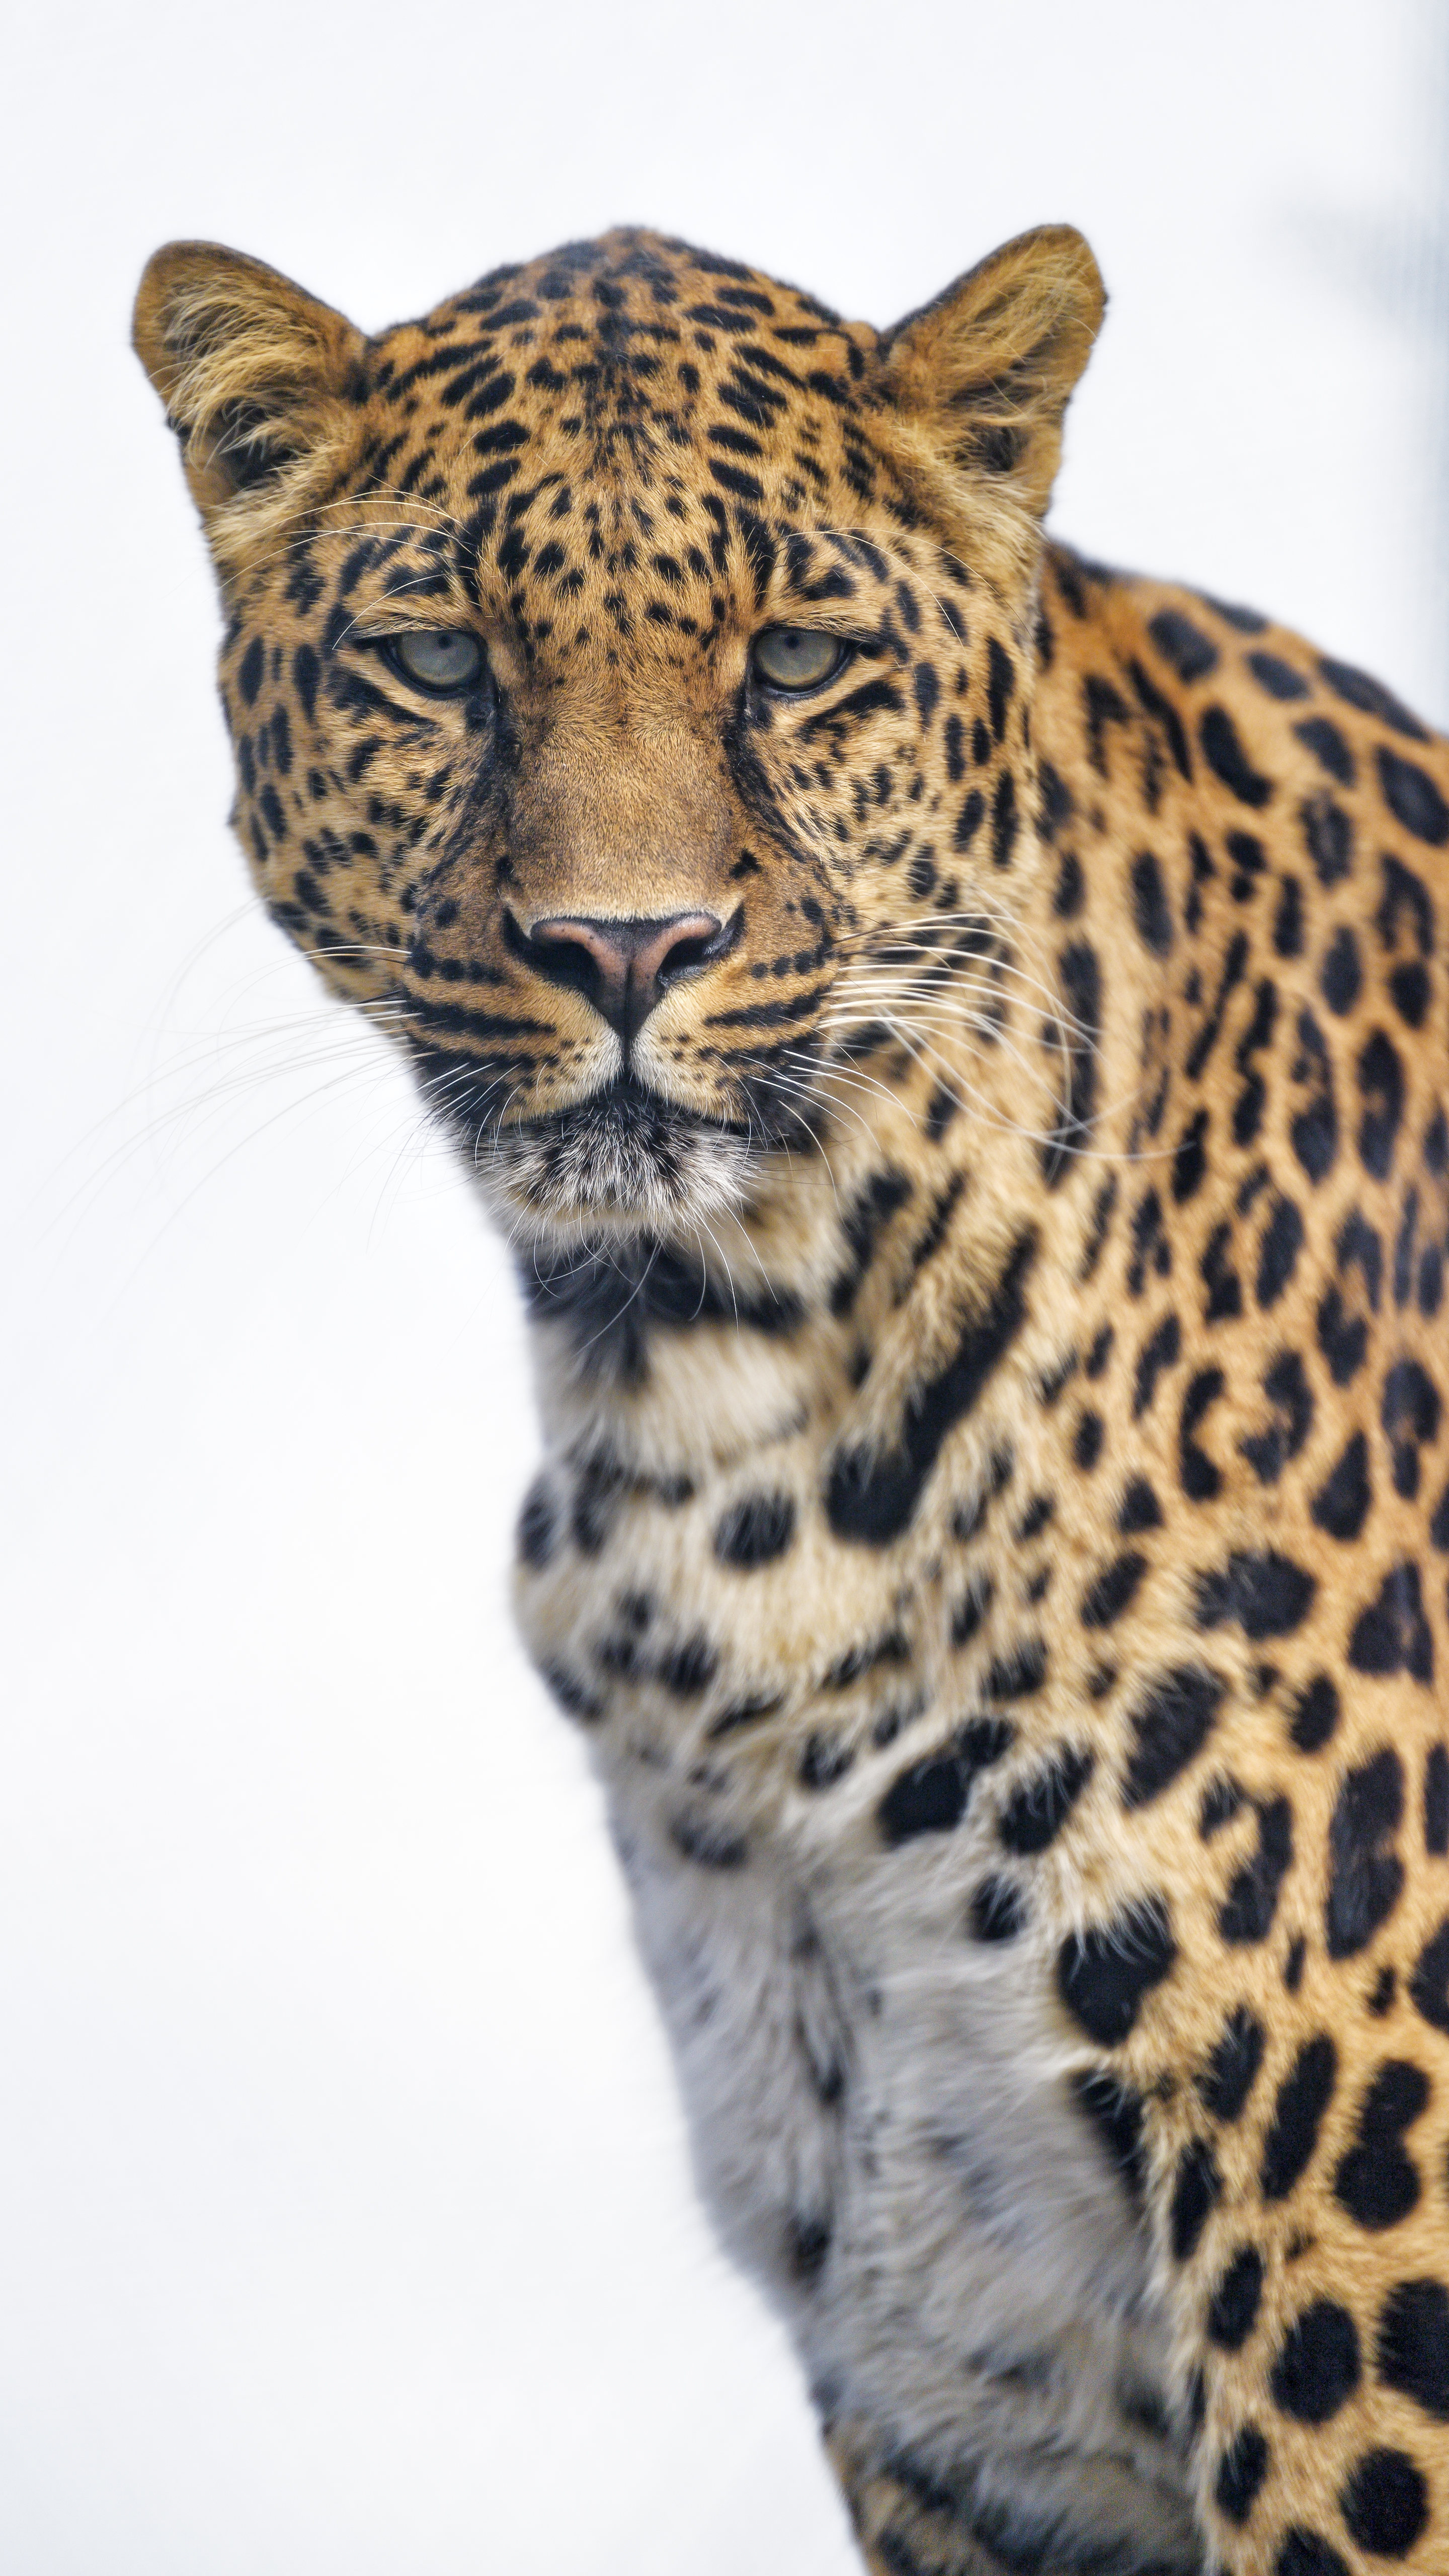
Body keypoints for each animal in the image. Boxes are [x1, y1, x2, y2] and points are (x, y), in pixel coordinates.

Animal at [135, 221, 1443, 2576]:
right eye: (437, 660)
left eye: (801, 658)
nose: (620, 946)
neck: (725, 1384)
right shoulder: (955, 2359)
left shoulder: (1348, 2288)